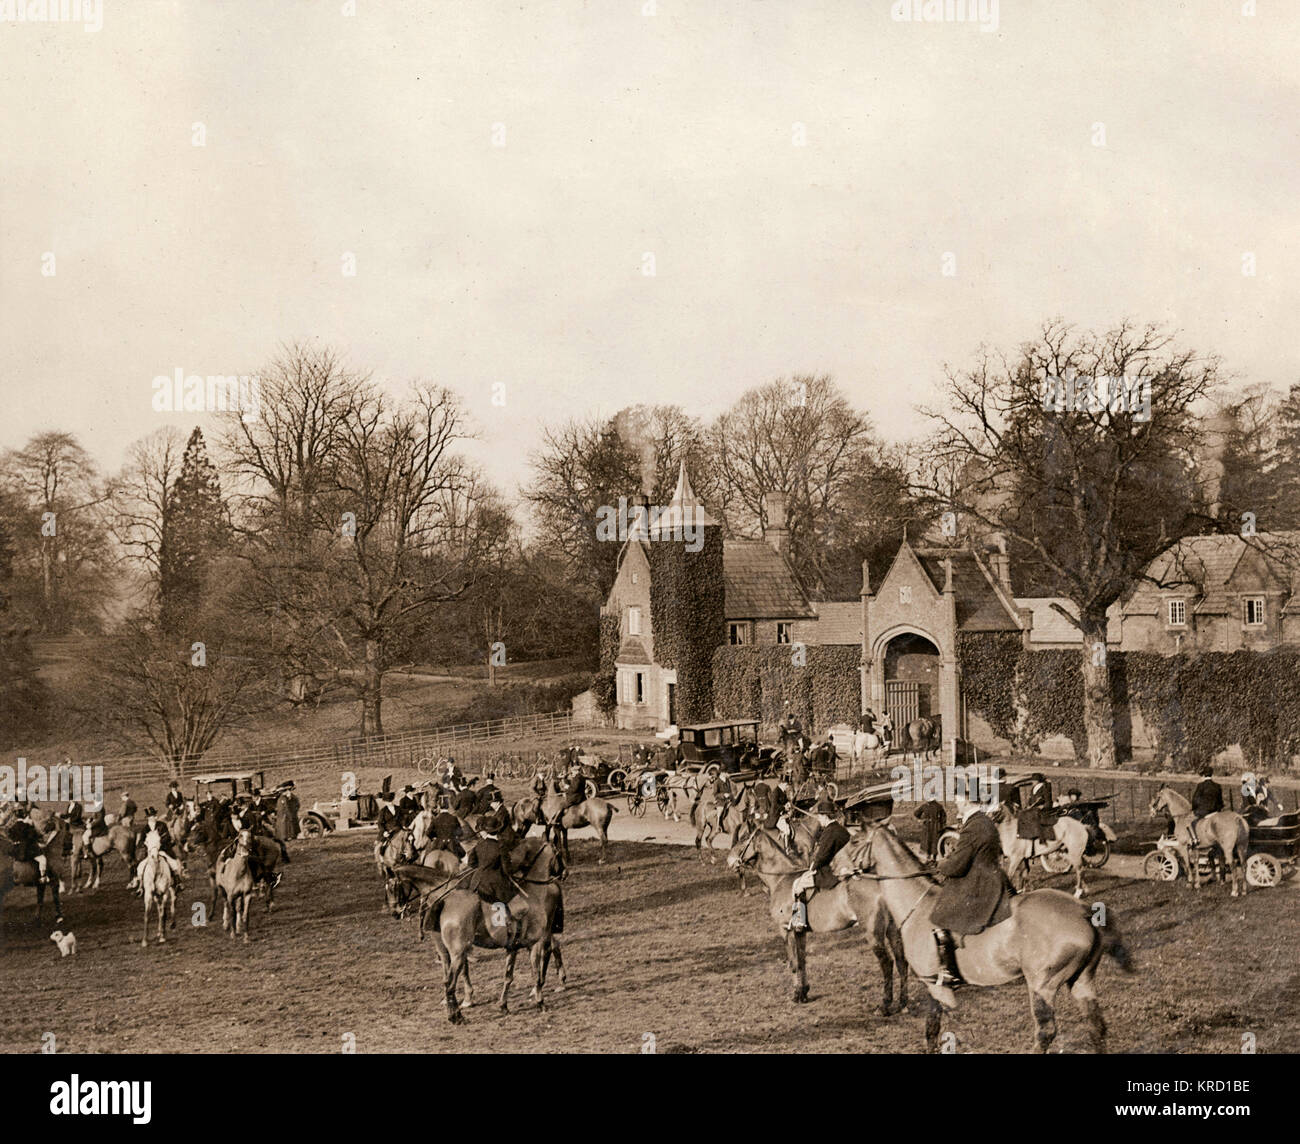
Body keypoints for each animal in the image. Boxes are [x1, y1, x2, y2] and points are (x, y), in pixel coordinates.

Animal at [423, 837, 566, 1024]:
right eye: (558, 852)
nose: (564, 872)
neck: (534, 894)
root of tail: (445, 901)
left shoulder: (512, 948)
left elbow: (508, 976)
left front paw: (503, 1006)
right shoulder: (535, 944)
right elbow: (535, 973)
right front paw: (540, 1003)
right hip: (459, 954)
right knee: (450, 983)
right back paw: (456, 1016)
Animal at [728, 826, 909, 1013]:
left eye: (743, 838)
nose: (730, 860)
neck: (781, 878)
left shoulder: (786, 929)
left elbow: (793, 963)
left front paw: (796, 994)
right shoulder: (800, 931)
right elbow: (802, 960)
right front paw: (804, 992)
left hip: (873, 933)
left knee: (887, 963)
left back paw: (884, 1004)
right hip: (893, 930)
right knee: (901, 960)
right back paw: (903, 1003)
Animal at [847, 821, 1133, 1055]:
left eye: (853, 840)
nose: (840, 872)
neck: (917, 905)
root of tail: (1085, 911)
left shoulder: (937, 987)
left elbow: (940, 1030)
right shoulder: (934, 986)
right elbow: (932, 1029)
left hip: (1043, 984)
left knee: (1046, 1032)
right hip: (1081, 980)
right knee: (1097, 1027)